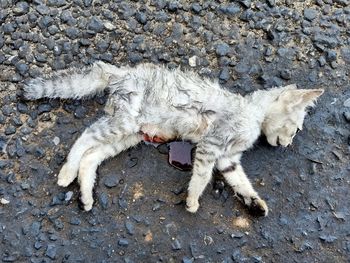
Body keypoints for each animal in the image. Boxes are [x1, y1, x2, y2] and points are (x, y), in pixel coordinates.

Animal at [21, 62, 322, 217]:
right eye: (296, 128)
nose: (287, 144)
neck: (254, 113)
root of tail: (122, 71)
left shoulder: (228, 158)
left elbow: (240, 181)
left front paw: (254, 203)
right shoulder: (211, 145)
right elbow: (201, 175)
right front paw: (192, 201)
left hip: (128, 134)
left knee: (91, 157)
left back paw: (85, 196)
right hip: (122, 124)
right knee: (84, 139)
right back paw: (67, 172)